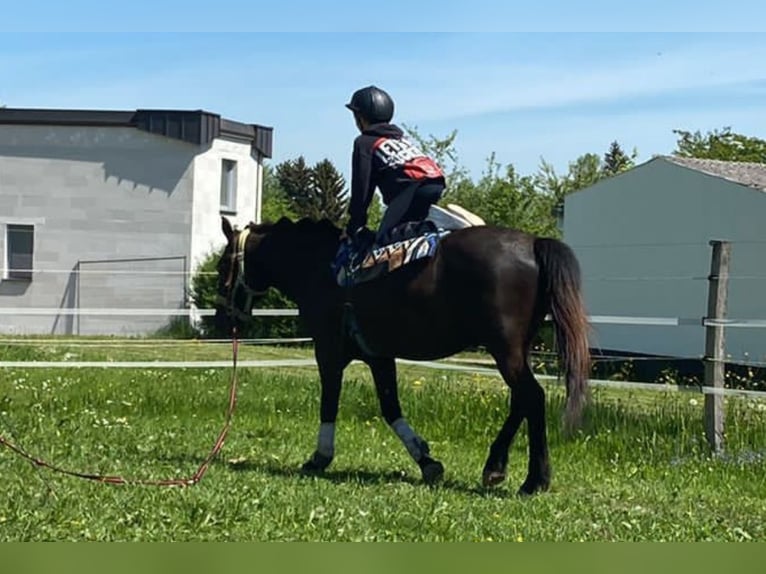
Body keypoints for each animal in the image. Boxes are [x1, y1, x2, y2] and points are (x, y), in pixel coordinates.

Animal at [216, 214, 592, 498]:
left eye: (221, 265)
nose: (221, 319)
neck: (319, 267)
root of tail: (533, 242)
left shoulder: (329, 351)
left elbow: (330, 404)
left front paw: (319, 458)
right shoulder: (379, 356)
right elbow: (390, 407)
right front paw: (426, 461)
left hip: (505, 349)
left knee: (532, 397)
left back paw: (534, 480)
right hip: (513, 351)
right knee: (521, 401)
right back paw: (496, 467)